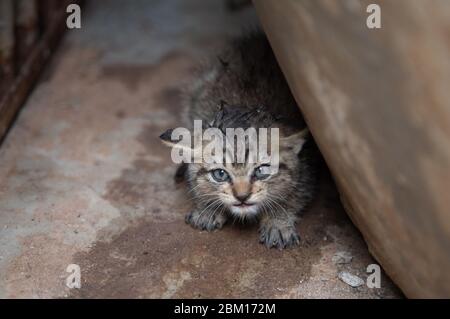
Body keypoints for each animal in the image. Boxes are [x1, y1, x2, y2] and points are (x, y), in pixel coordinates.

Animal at [160, 30, 318, 250]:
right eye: (220, 174)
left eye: (261, 171)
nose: (242, 197)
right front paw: (207, 208)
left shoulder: (307, 166)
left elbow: (296, 193)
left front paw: (278, 221)